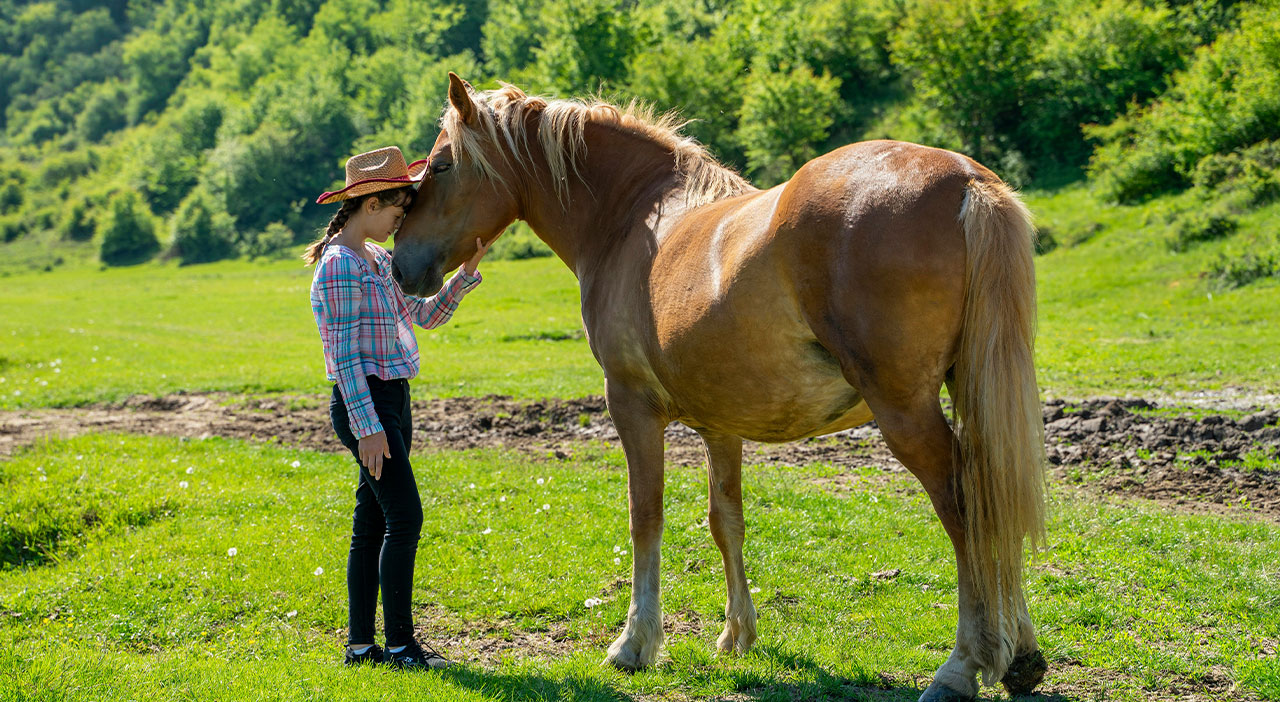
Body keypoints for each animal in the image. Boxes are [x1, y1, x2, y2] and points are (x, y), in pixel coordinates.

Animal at [392, 73, 1048, 702]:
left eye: (442, 164)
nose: (400, 265)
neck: (630, 218)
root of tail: (965, 180)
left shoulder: (631, 407)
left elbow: (646, 516)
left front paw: (635, 643)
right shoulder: (721, 425)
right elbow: (725, 520)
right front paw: (737, 635)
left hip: (905, 412)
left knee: (967, 508)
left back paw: (962, 666)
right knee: (995, 495)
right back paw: (1021, 656)